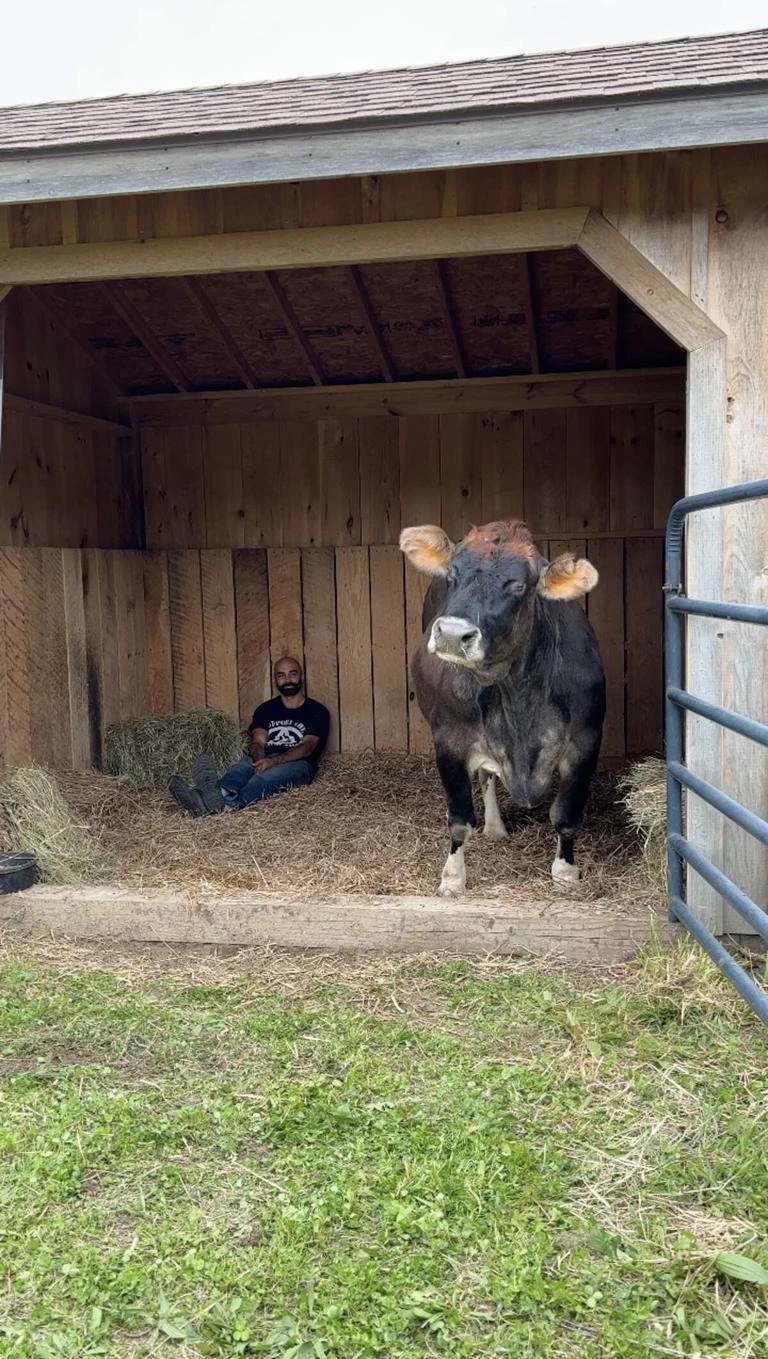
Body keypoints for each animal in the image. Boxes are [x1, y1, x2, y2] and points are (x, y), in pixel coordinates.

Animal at [399, 519, 600, 902]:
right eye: (453, 574)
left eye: (519, 585)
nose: (452, 634)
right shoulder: (449, 741)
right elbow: (460, 819)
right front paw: (452, 878)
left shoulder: (586, 741)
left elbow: (567, 815)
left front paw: (566, 873)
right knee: (486, 777)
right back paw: (492, 826)